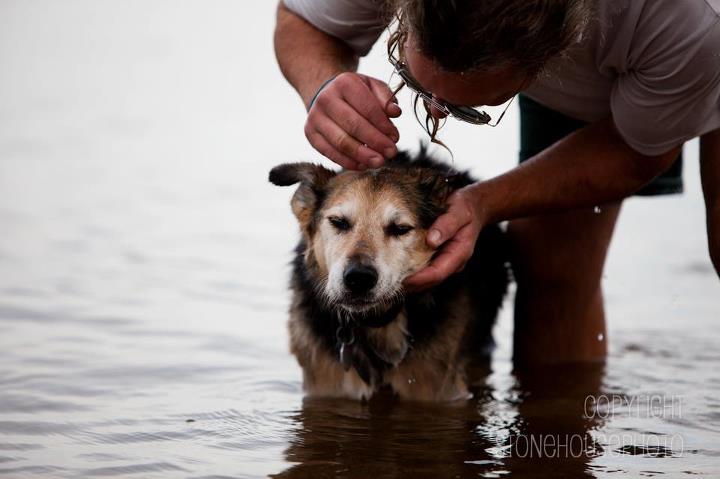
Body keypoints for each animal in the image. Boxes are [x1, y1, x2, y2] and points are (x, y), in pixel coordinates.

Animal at [268, 149, 510, 402]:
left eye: (400, 229)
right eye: (338, 222)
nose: (359, 278)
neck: (376, 323)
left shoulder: (438, 389)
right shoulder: (326, 386)